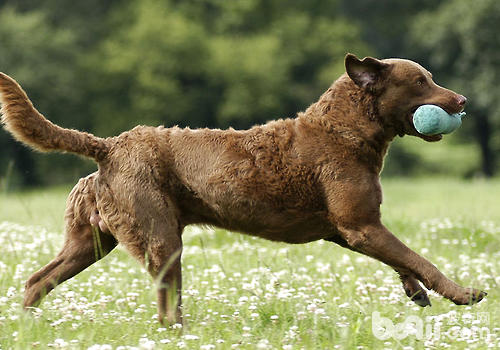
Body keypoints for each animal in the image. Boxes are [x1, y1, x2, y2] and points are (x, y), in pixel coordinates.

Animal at [0, 53, 484, 324]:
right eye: (421, 82)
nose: (463, 101)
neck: (345, 130)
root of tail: (109, 145)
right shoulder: (360, 225)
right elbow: (419, 258)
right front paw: (464, 294)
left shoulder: (348, 229)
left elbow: (404, 261)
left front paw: (416, 292)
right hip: (160, 239)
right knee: (166, 308)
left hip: (92, 240)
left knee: (37, 279)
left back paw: (27, 328)